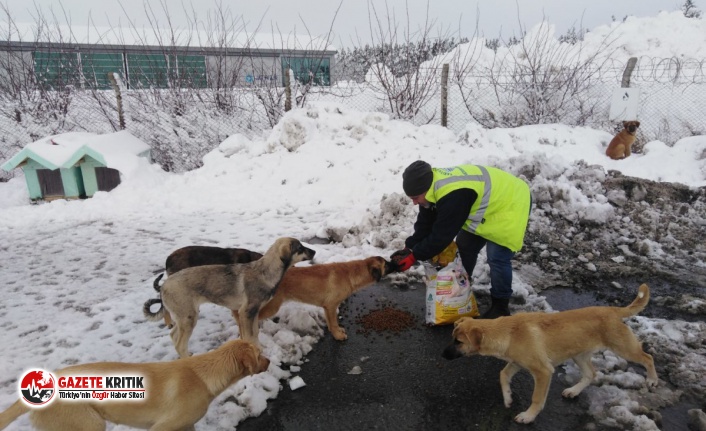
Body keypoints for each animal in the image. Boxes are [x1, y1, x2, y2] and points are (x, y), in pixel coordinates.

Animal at [0, 340, 268, 431]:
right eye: (260, 354)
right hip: (89, 425)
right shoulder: (162, 427)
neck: (203, 375)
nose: (270, 361)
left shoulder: (186, 425)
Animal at [143, 236, 314, 358]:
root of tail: (164, 286)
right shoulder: (246, 313)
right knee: (179, 344)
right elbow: (250, 336)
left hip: (184, 317)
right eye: (300, 248)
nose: (314, 252)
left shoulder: (252, 314)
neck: (265, 272)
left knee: (174, 336)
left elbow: (254, 334)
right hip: (189, 318)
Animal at [252, 256, 396, 340]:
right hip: (272, 306)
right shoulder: (331, 306)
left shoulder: (327, 307)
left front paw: (336, 331)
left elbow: (332, 322)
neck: (350, 274)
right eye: (387, 264)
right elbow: (334, 322)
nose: (395, 263)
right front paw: (338, 336)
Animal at [442, 286, 656, 424]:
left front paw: (528, 416)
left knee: (648, 358)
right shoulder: (516, 362)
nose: (443, 355)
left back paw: (652, 380)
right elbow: (502, 375)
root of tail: (612, 310)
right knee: (591, 374)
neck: (508, 333)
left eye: (458, 342)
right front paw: (508, 397)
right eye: (452, 338)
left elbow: (537, 397)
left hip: (623, 347)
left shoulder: (543, 371)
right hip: (579, 354)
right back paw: (574, 391)